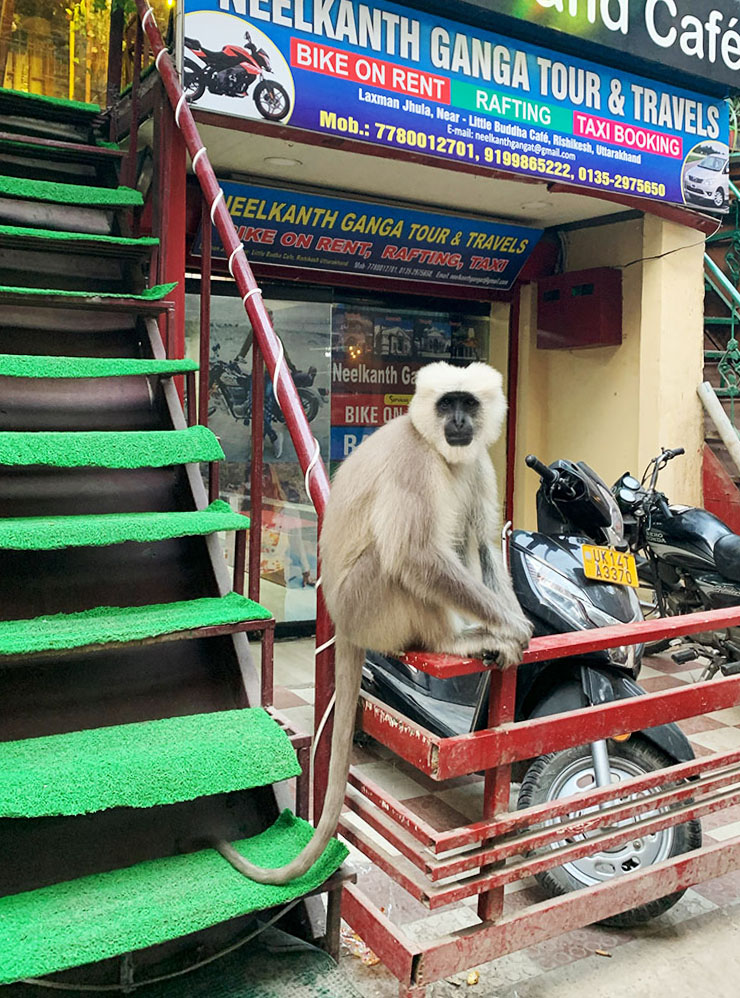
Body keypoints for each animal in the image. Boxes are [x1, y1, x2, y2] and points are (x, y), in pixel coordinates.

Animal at [214, 364, 532, 888]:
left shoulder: (478, 463)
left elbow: (486, 545)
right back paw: (453, 640)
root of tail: (342, 618)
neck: (435, 445)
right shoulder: (413, 461)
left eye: (467, 403)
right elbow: (416, 556)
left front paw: (517, 621)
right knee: (398, 555)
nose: (459, 421)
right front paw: (510, 625)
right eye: (447, 404)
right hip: (368, 602)